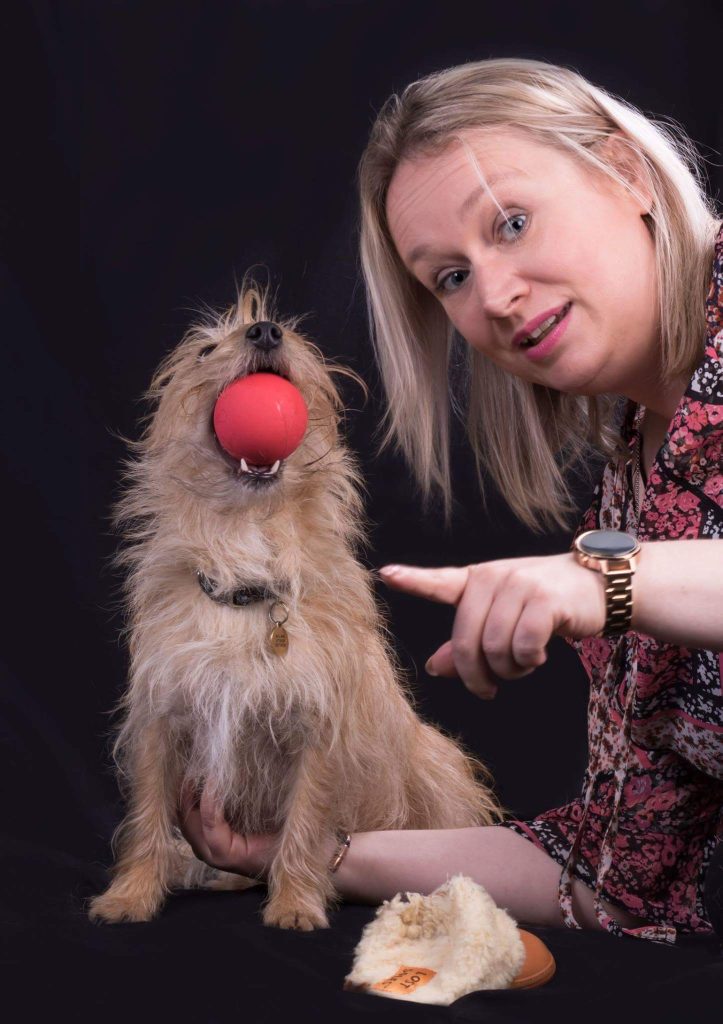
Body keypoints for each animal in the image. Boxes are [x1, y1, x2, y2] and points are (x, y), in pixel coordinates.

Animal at [87, 278, 503, 929]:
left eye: (289, 333)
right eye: (205, 351)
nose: (264, 331)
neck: (247, 567)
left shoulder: (318, 731)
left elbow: (306, 823)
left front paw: (295, 903)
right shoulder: (161, 719)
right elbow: (147, 815)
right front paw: (131, 894)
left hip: (437, 765)